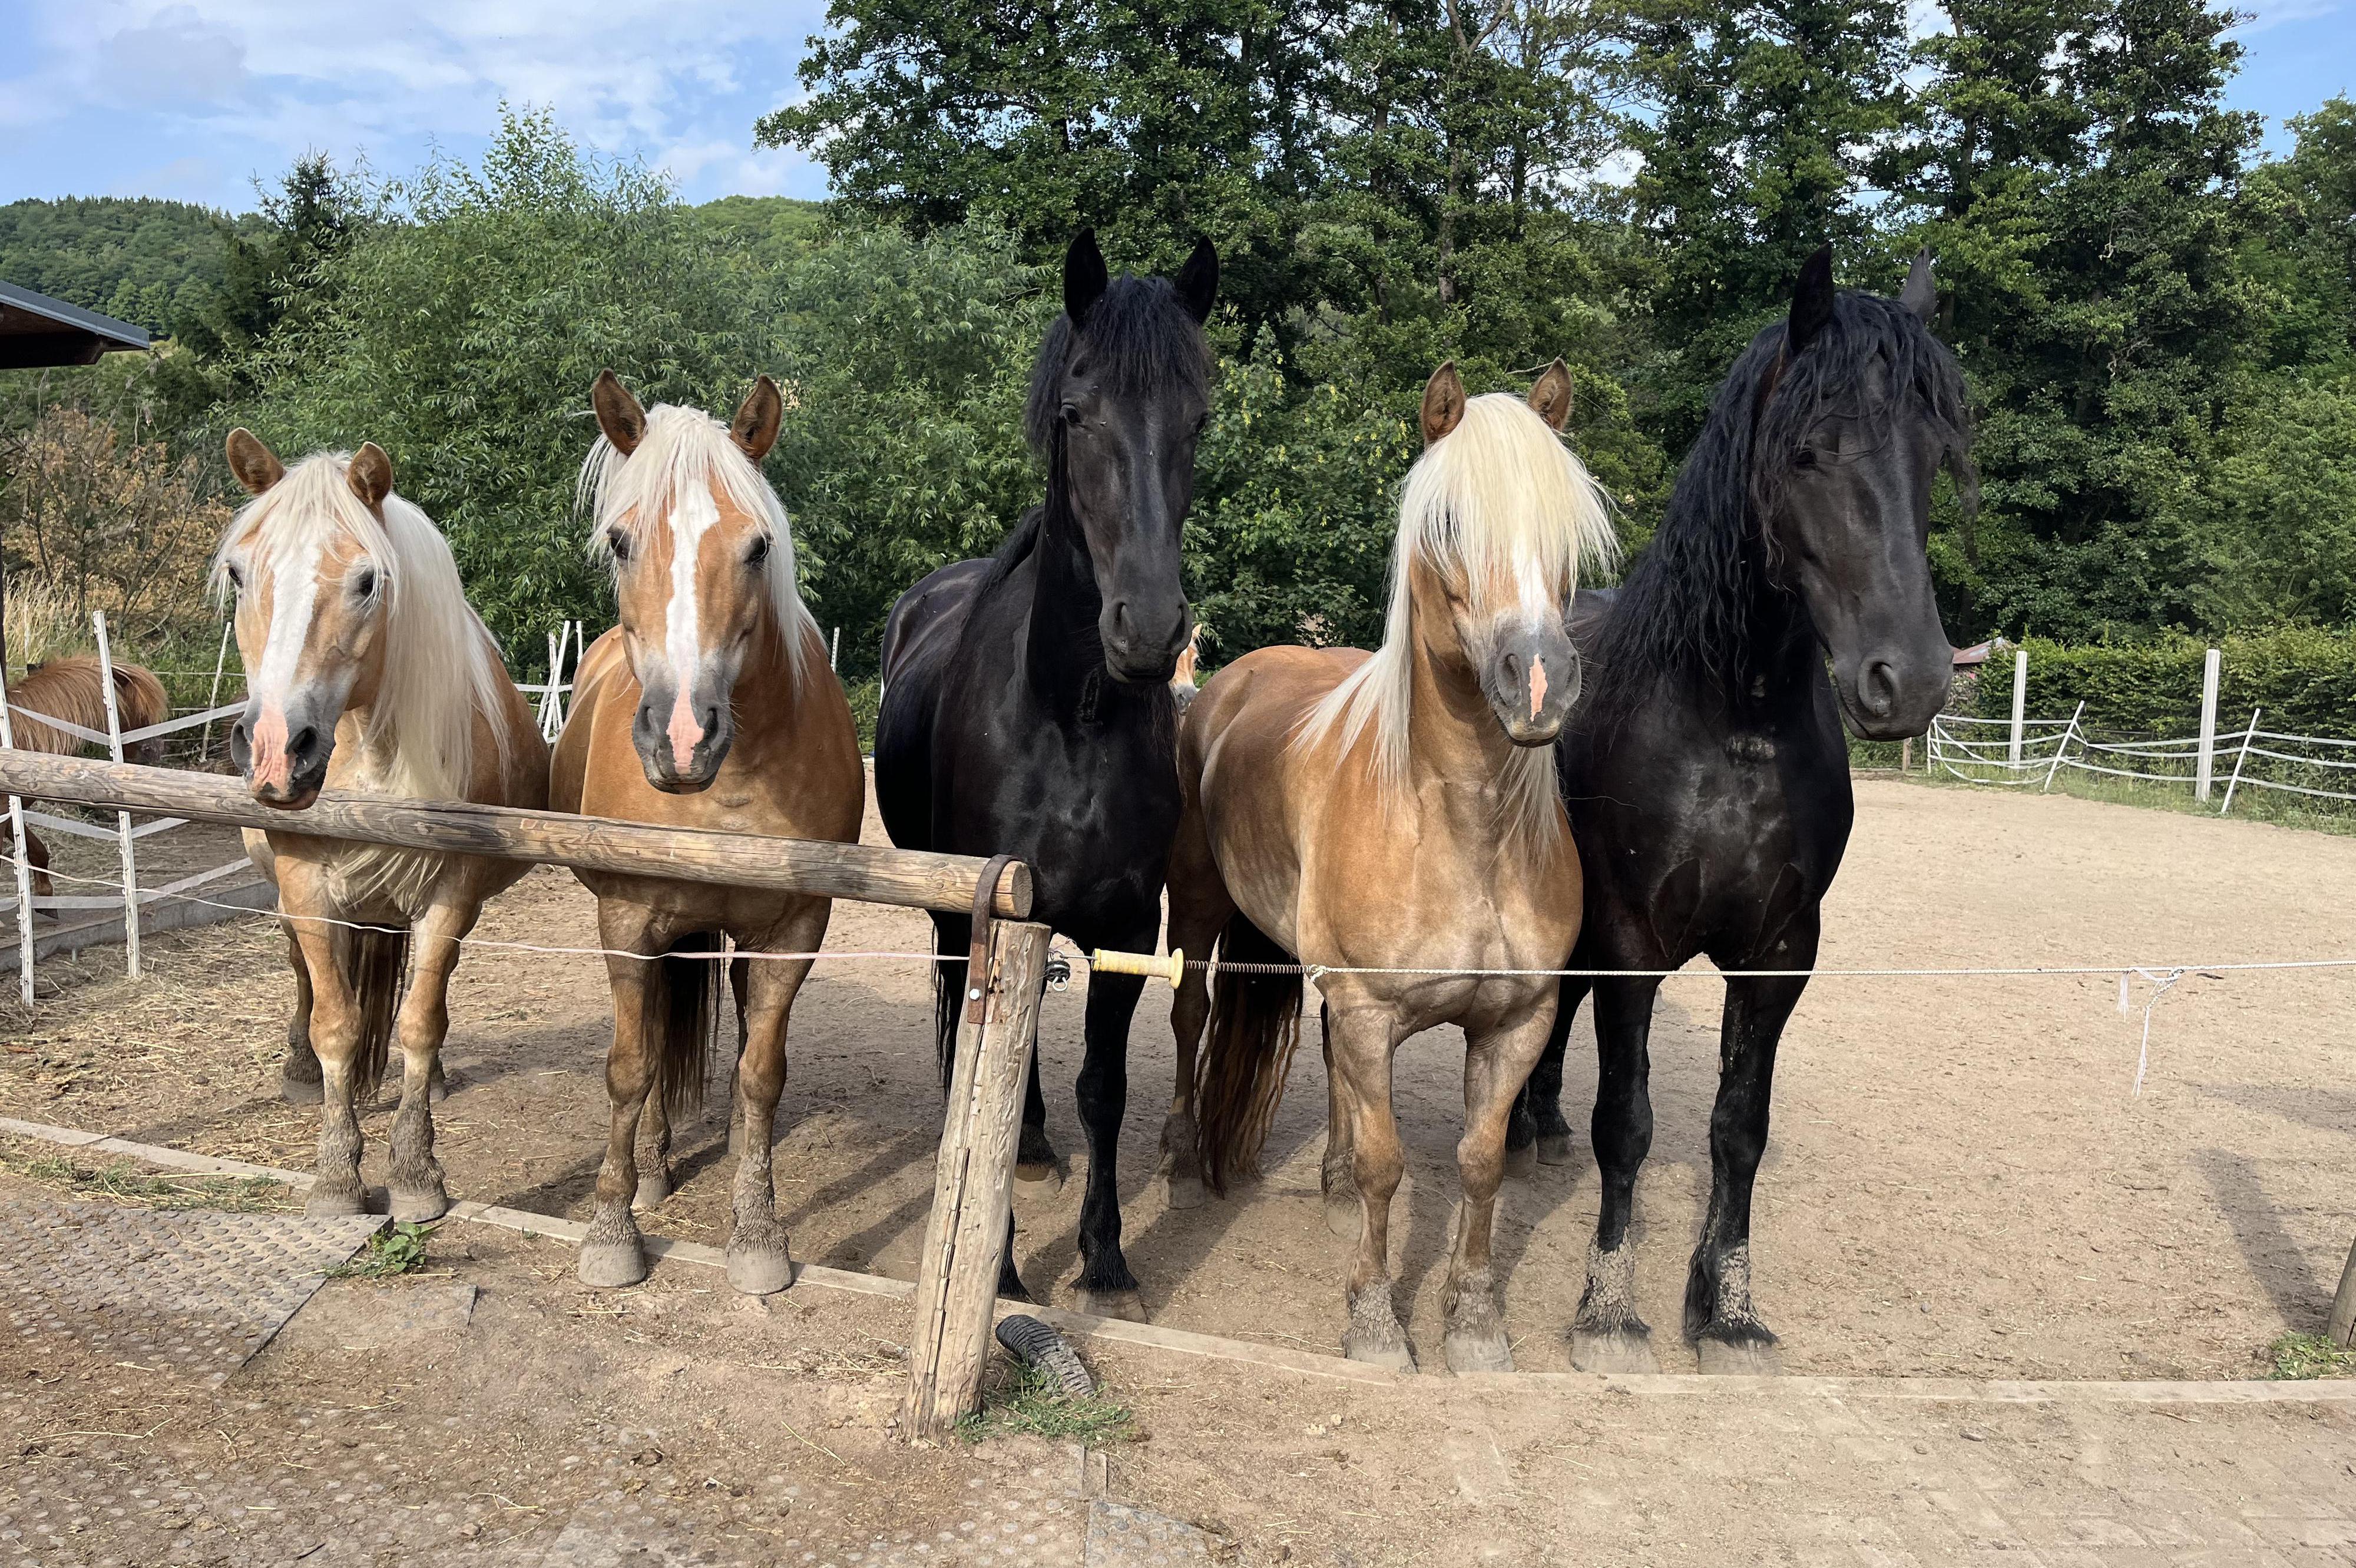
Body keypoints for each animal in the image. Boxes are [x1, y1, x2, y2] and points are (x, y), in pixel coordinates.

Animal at [215, 430, 548, 1219]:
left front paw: (415, 1171)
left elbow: (421, 1021)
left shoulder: (451, 896)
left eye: (368, 581)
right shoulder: (306, 889)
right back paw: (299, 1070)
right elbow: (335, 1023)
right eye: (239, 573)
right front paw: (338, 1176)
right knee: (303, 977)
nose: (277, 749)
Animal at [551, 372, 864, 1294]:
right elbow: (629, 1068)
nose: (683, 737)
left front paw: (758, 1234)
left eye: (757, 547)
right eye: (620, 541)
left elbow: (761, 1076)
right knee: (653, 1036)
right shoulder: (626, 921)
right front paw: (611, 1229)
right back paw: (653, 1169)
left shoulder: (795, 931)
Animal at [875, 229, 1217, 1319]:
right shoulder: (996, 909)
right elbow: (987, 1066)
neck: (1070, 718)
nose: (1148, 629)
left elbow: (1100, 1089)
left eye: (1199, 417)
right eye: (1077, 412)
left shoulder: (1125, 925)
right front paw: (1009, 1269)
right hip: (954, 916)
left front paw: (1105, 1260)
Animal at [1167, 361, 1616, 1373]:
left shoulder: (1517, 1024)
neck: (1461, 833)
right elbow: (1389, 1164)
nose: (1539, 681)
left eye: (1567, 527)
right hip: (1203, 904)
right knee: (1190, 1016)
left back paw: (1328, 1184)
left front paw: (1476, 1322)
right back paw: (1177, 1152)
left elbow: (1479, 1165)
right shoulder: (1374, 1006)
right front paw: (1375, 1320)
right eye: (1447, 523)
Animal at [1505, 247, 1973, 1374]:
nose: (1912, 678)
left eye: (1935, 457)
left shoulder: (1780, 953)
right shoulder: (1630, 939)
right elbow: (1627, 1121)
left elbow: (1738, 1128)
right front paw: (1609, 1310)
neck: (1731, 722)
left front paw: (1725, 1308)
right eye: (1807, 453)